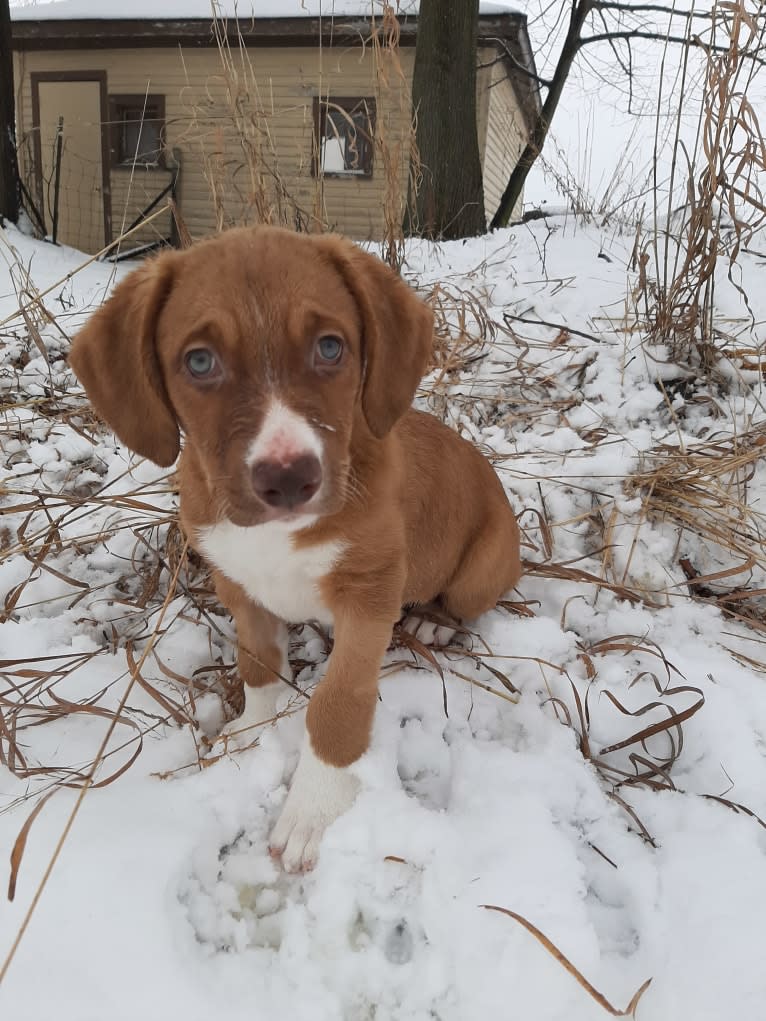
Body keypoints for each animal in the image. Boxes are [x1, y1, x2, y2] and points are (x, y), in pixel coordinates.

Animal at [70, 227, 522, 873]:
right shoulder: (237, 583)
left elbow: (337, 704)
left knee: (470, 601)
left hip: (480, 569)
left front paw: (314, 809)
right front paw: (251, 733)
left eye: (330, 348)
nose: (287, 479)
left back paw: (435, 623)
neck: (277, 537)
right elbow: (258, 665)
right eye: (199, 361)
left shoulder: (369, 595)